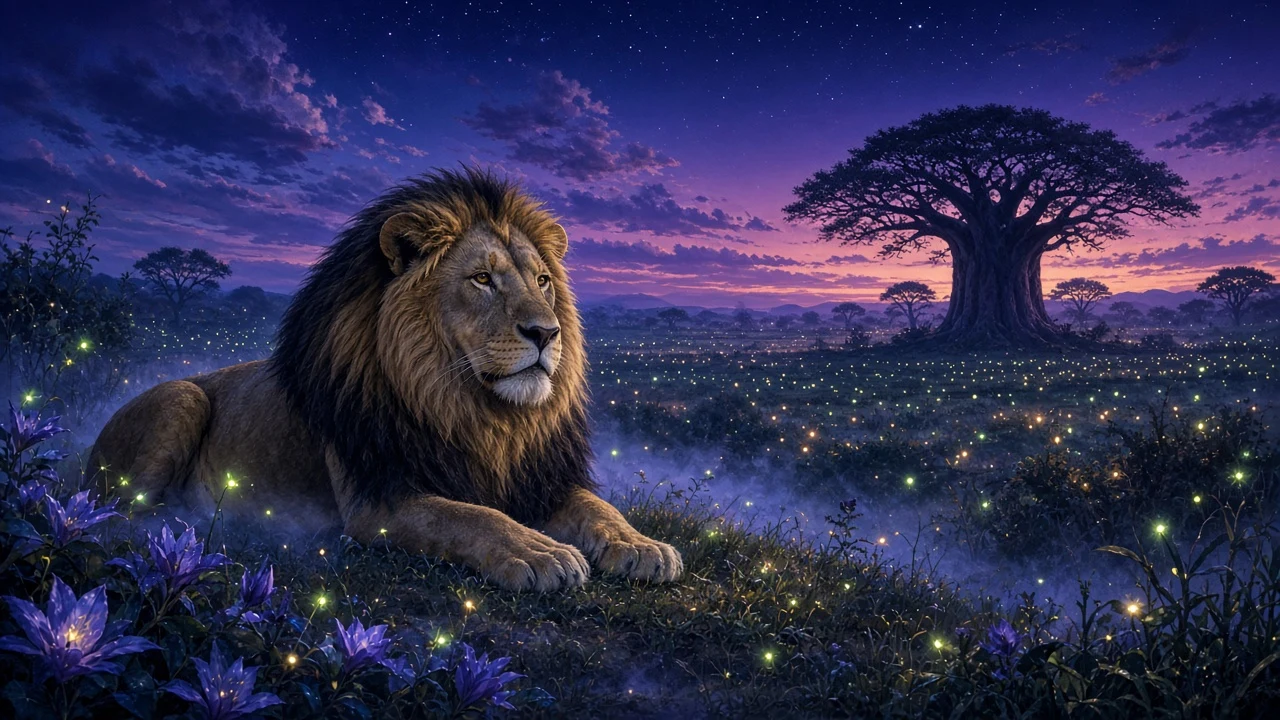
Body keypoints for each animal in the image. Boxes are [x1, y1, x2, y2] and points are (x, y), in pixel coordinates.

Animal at [88, 167, 682, 591]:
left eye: (541, 280)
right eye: (482, 279)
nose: (547, 332)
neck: (478, 413)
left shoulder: (538, 479)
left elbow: (598, 508)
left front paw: (643, 546)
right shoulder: (378, 500)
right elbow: (472, 517)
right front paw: (540, 551)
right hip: (181, 397)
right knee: (116, 509)